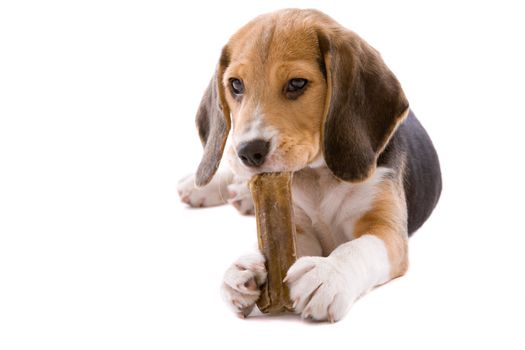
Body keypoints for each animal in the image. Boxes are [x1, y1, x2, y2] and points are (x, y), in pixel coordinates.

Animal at [178, 8, 440, 322]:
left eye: (297, 84)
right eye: (236, 85)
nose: (248, 152)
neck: (319, 176)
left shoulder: (387, 230)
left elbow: (357, 247)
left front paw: (328, 274)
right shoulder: (296, 226)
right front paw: (245, 265)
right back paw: (208, 186)